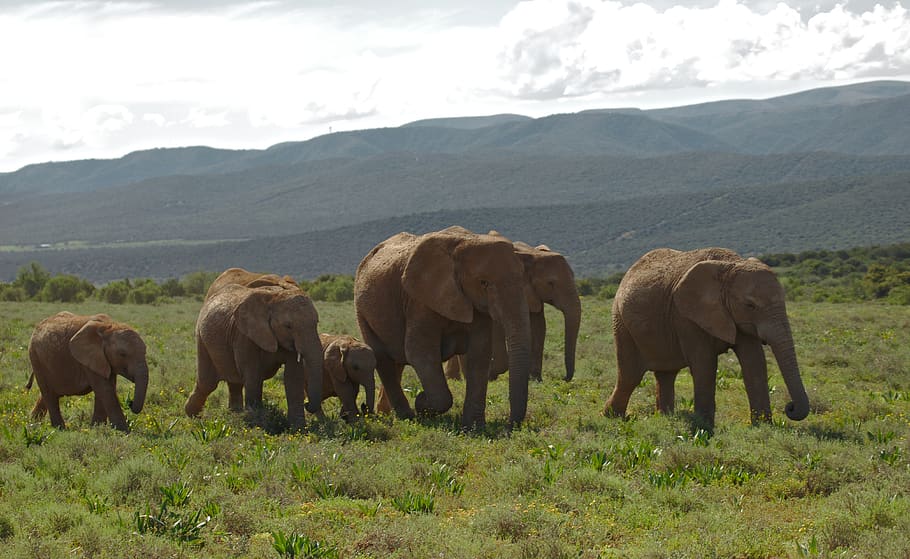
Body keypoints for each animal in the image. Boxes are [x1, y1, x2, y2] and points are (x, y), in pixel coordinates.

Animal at [186, 269, 324, 429]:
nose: (308, 404)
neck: (274, 297)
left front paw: (298, 429)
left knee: (234, 381)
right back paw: (192, 416)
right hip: (201, 337)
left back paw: (234, 415)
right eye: (288, 326)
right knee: (207, 383)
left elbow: (293, 377)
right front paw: (257, 425)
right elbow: (253, 374)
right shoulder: (244, 335)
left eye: (316, 322)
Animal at [355, 226, 533, 429]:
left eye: (522, 279)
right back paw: (407, 416)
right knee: (383, 360)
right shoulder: (420, 300)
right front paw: (422, 403)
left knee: (396, 361)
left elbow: (480, 353)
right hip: (362, 311)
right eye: (483, 282)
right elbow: (419, 351)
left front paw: (473, 428)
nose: (509, 426)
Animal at [445, 237, 581, 383]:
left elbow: (539, 326)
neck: (533, 254)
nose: (564, 378)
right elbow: (498, 327)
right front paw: (491, 374)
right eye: (550, 283)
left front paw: (535, 379)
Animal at [604, 247, 811, 429]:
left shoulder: (738, 319)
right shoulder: (685, 316)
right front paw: (704, 427)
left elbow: (754, 362)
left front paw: (763, 426)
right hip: (621, 322)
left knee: (666, 374)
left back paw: (665, 418)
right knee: (630, 376)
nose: (790, 407)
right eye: (750, 305)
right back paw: (613, 417)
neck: (730, 265)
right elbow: (705, 364)